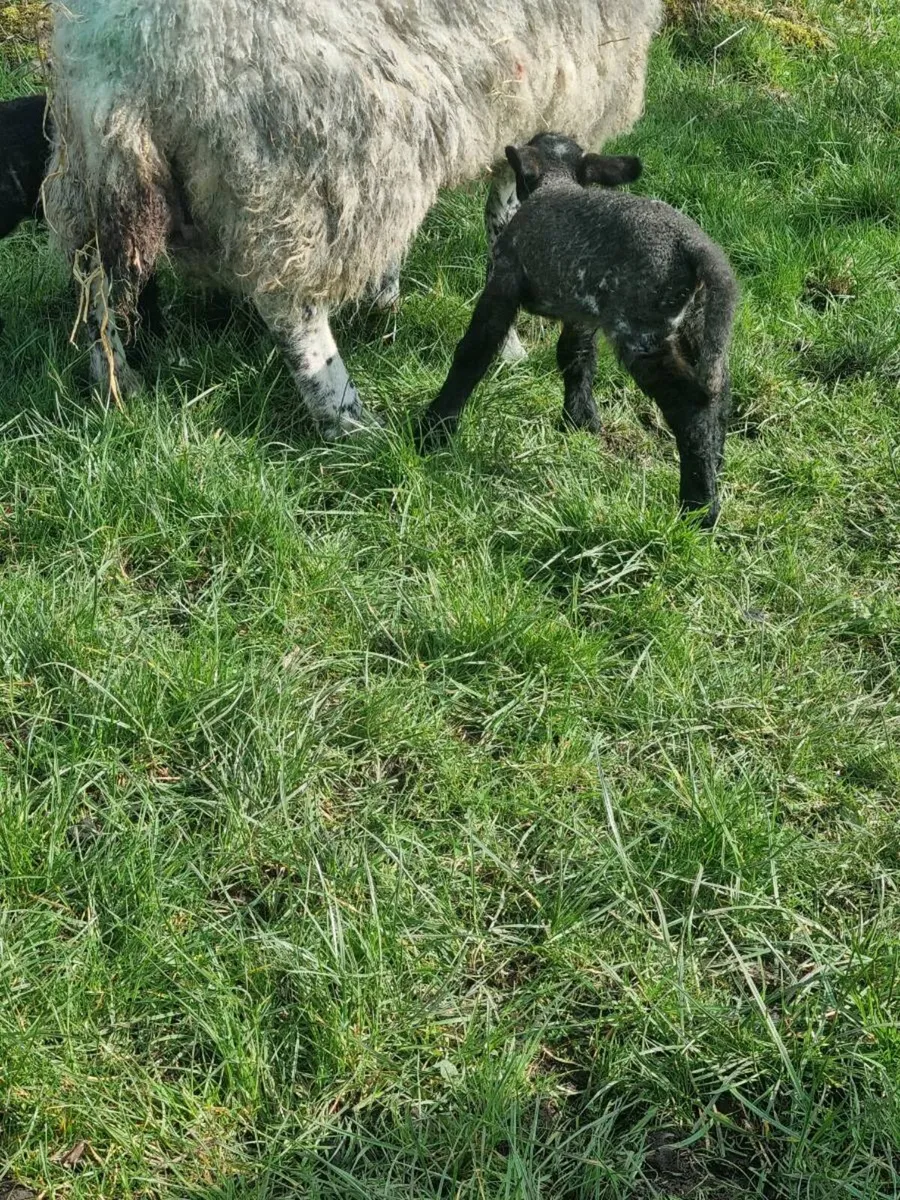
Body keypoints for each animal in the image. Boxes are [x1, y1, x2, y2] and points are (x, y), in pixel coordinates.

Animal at [44, 0, 662, 430]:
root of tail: (134, 54)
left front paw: (385, 303)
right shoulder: (537, 110)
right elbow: (503, 220)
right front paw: (508, 347)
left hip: (91, 172)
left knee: (94, 281)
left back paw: (114, 381)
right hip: (306, 166)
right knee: (289, 305)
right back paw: (346, 417)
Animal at [417, 132, 740, 527]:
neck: (556, 183)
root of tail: (698, 249)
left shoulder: (504, 279)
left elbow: (475, 351)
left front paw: (434, 429)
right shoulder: (581, 308)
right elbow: (576, 357)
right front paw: (580, 419)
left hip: (640, 329)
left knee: (688, 405)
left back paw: (699, 506)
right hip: (695, 324)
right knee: (718, 395)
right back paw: (715, 465)